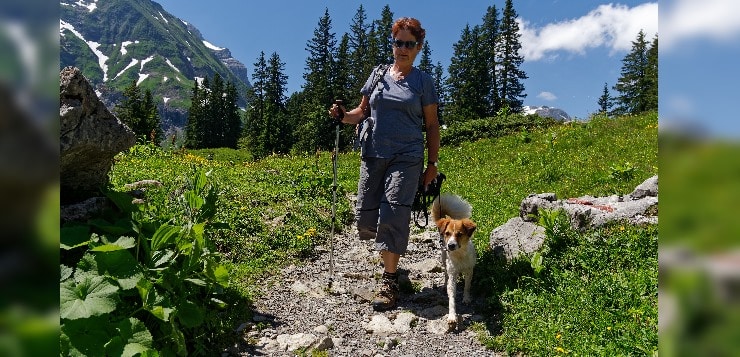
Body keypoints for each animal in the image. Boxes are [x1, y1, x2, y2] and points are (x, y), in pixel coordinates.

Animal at [430, 192, 476, 328]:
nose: (450, 245)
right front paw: (452, 316)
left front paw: (466, 298)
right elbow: (452, 296)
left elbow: (467, 286)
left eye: (459, 234)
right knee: (445, 275)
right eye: (447, 233)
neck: (459, 255)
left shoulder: (469, 270)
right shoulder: (452, 273)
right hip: (444, 260)